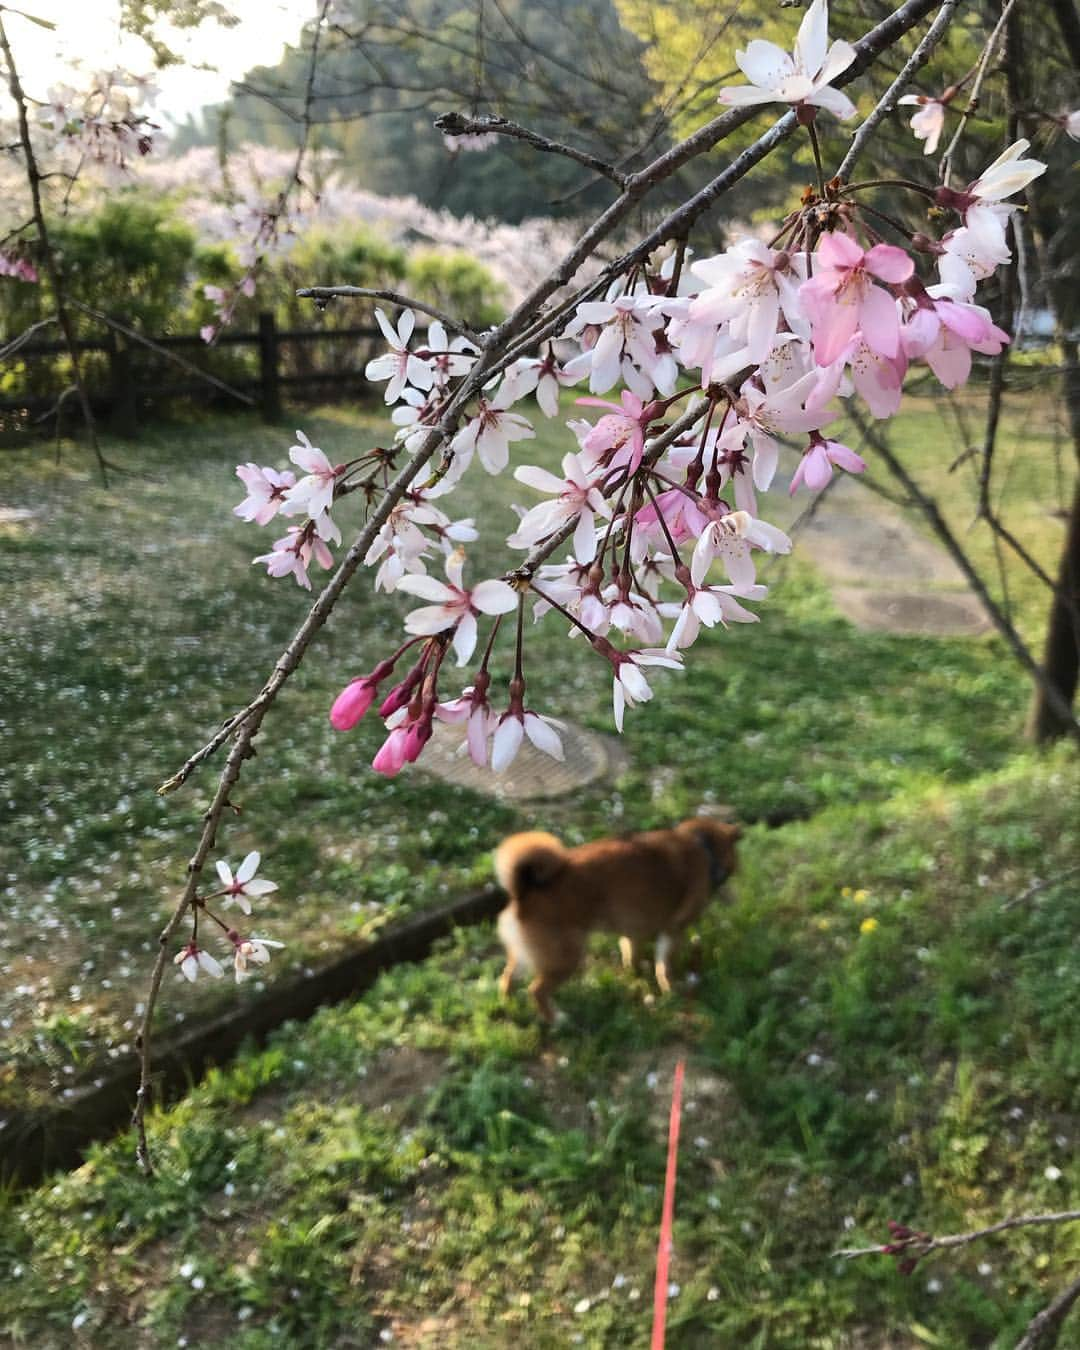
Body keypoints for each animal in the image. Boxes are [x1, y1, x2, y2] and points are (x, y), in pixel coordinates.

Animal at [491, 810, 739, 1020]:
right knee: (537, 990)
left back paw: (508, 1005)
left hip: (526, 956)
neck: (702, 846)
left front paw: (634, 972)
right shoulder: (673, 931)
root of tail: (524, 892)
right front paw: (670, 989)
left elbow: (631, 954)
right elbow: (665, 967)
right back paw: (557, 1019)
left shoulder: (633, 930)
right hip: (566, 958)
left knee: (507, 979)